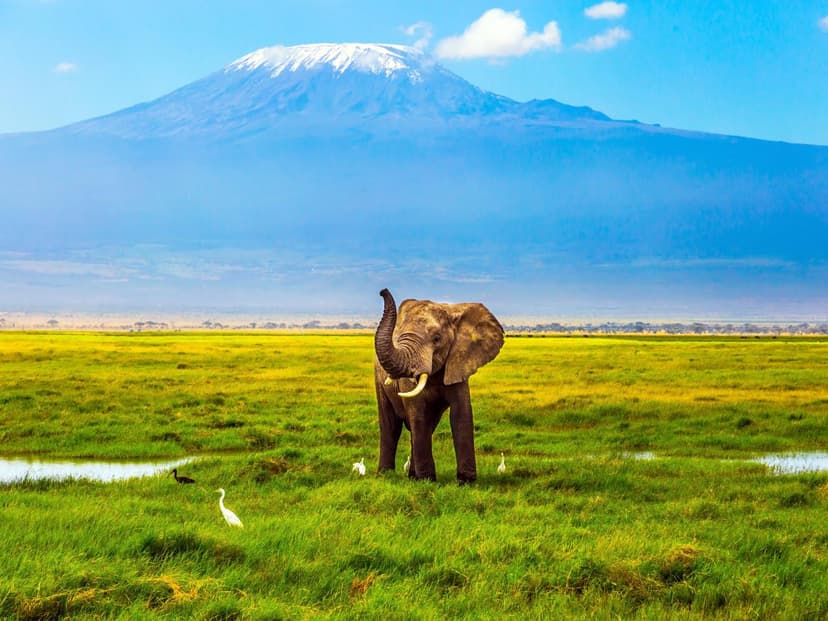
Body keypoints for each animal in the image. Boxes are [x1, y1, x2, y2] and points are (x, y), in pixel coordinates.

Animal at [373, 288, 504, 483]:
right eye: (398, 337)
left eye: (436, 339)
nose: (383, 291)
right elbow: (418, 415)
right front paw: (427, 480)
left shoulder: (459, 360)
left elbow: (461, 414)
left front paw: (466, 482)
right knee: (391, 426)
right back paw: (386, 475)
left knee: (426, 425)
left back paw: (412, 476)